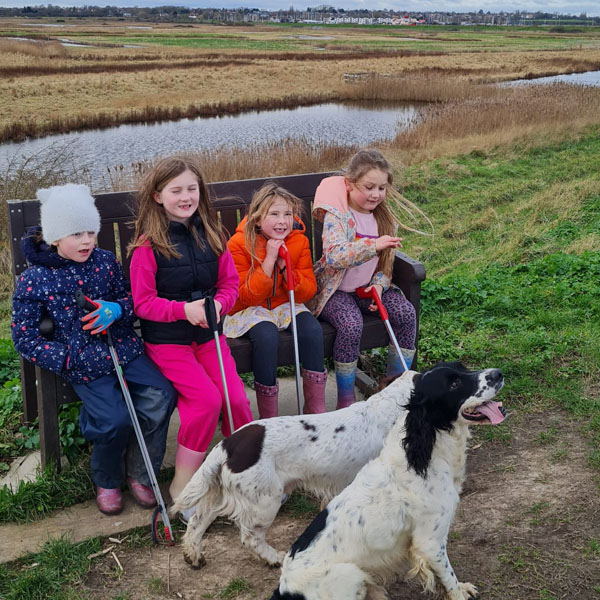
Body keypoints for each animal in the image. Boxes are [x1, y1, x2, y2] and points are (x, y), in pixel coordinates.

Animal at [173, 372, 418, 568]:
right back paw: (274, 558)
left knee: (196, 522)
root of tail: (227, 445)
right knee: (250, 538)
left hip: (218, 494)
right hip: (265, 501)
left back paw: (194, 557)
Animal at [272, 360, 506, 600]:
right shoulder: (430, 543)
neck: (426, 453)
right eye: (454, 384)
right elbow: (448, 578)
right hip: (350, 573)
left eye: (463, 367)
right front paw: (458, 592)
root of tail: (284, 588)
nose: (498, 374)